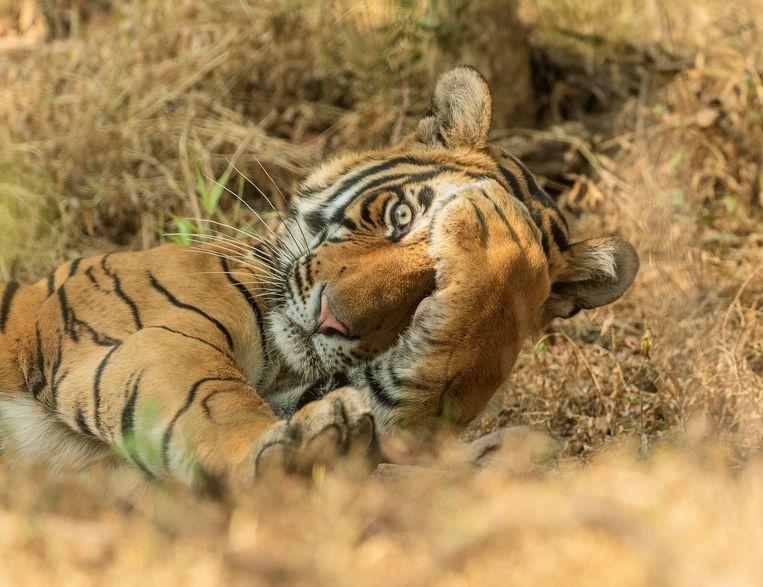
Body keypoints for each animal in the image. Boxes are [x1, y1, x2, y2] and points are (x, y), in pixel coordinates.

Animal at [0, 68, 640, 486]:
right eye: (400, 216)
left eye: (430, 294)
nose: (333, 319)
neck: (287, 366)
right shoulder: (149, 334)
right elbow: (210, 399)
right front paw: (294, 450)